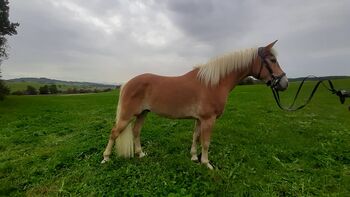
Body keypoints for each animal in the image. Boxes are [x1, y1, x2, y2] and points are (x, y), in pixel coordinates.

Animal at [100, 40, 288, 169]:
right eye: (272, 60)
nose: (284, 83)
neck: (213, 83)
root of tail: (127, 83)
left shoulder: (199, 119)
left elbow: (195, 137)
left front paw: (193, 157)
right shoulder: (208, 119)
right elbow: (206, 142)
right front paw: (206, 163)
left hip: (142, 113)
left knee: (136, 131)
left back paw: (141, 154)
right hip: (127, 115)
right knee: (114, 133)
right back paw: (106, 158)